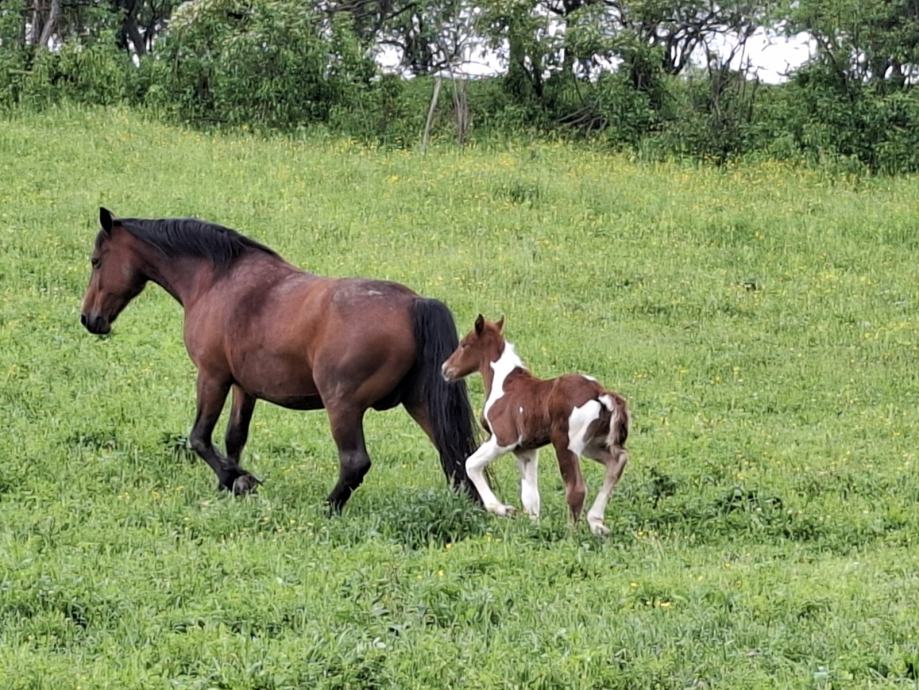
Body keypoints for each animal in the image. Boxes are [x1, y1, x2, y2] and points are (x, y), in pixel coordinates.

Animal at [80, 208, 480, 510]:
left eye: (96, 261)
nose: (88, 318)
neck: (217, 279)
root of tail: (414, 303)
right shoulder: (244, 387)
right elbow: (233, 439)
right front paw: (228, 485)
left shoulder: (212, 376)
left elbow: (199, 438)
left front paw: (238, 480)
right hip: (420, 402)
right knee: (456, 456)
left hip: (343, 406)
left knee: (355, 462)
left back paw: (328, 507)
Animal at [441, 315, 630, 535]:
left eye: (464, 344)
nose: (445, 369)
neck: (504, 385)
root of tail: (600, 393)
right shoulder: (525, 449)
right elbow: (530, 497)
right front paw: (533, 530)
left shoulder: (504, 439)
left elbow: (470, 464)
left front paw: (504, 509)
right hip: (592, 444)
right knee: (616, 461)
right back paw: (597, 523)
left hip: (565, 443)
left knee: (577, 488)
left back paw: (571, 533)